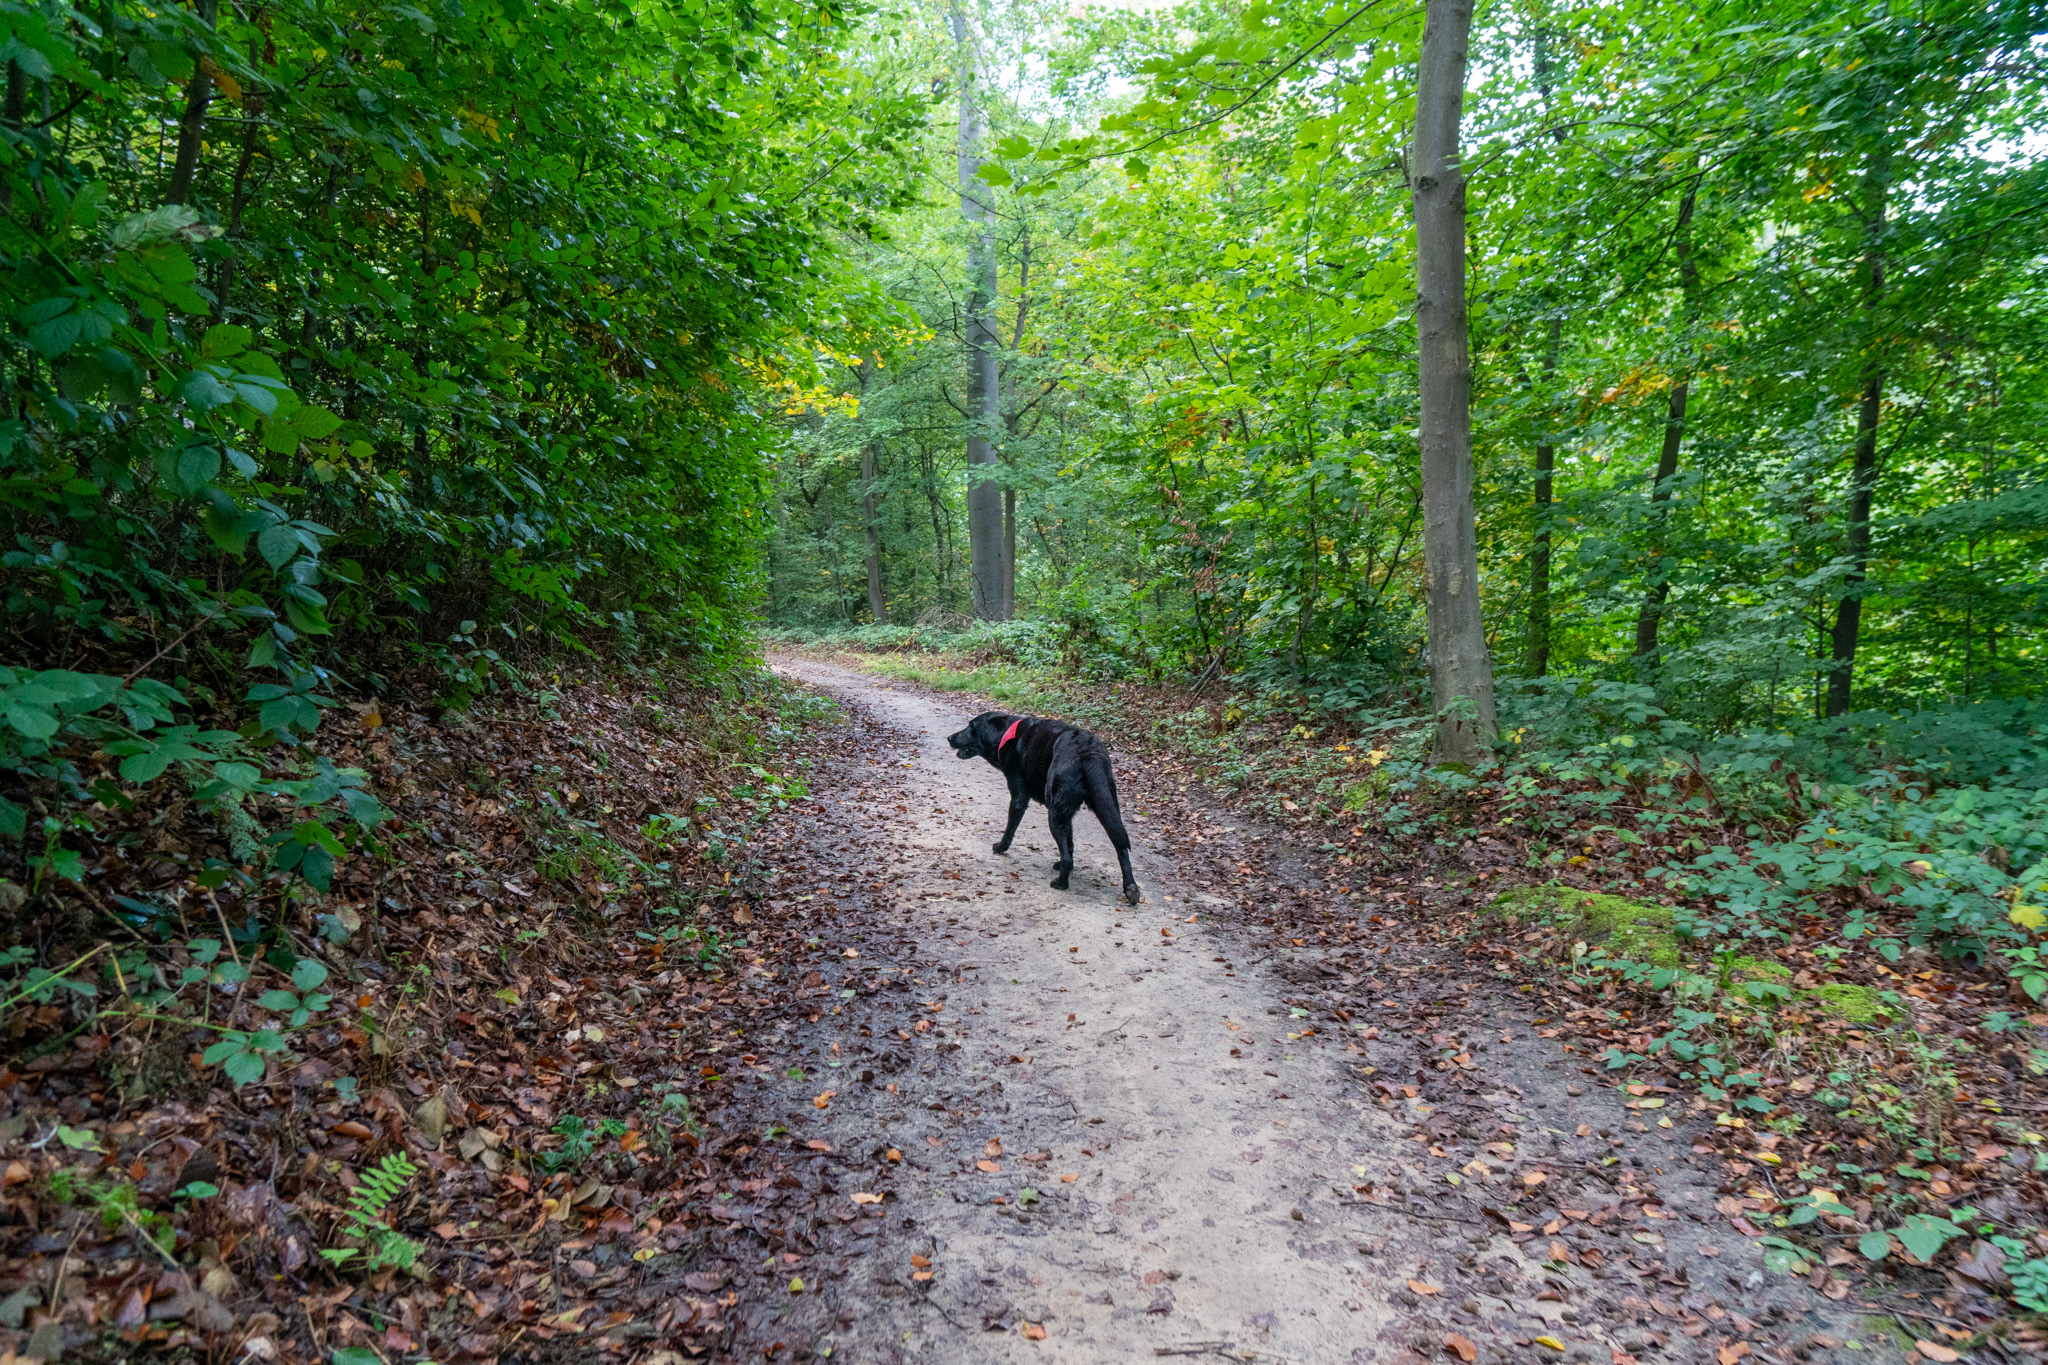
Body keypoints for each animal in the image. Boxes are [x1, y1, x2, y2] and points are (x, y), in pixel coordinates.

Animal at [946, 711, 1142, 905]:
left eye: (971, 726)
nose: (949, 737)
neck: (1005, 734)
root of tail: (1087, 751)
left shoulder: (1019, 798)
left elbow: (1010, 829)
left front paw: (1001, 847)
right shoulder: (1067, 814)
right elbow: (1070, 842)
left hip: (1054, 814)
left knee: (1068, 856)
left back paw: (1061, 883)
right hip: (1105, 806)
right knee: (1121, 848)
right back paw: (1130, 888)